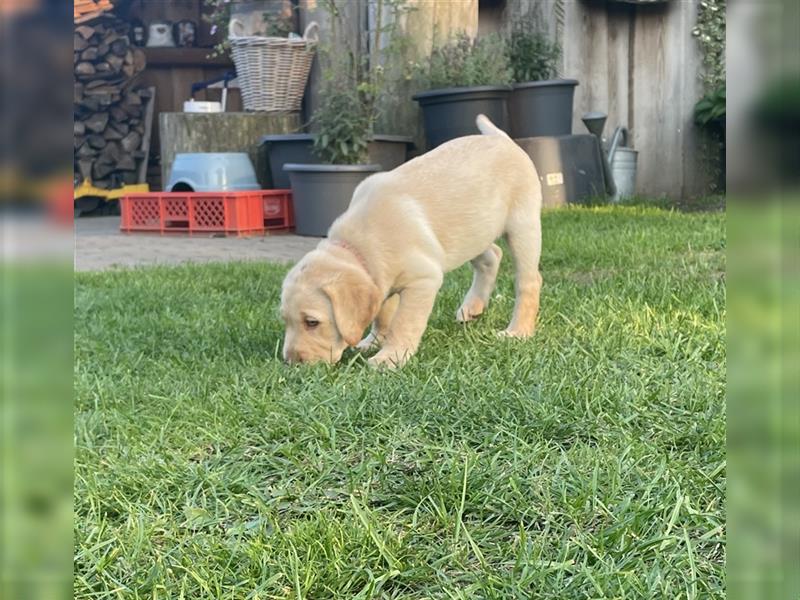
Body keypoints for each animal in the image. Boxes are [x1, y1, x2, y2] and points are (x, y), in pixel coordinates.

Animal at [282, 112, 544, 366]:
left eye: (312, 322)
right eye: (285, 320)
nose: (292, 363)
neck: (358, 245)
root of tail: (502, 139)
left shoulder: (423, 279)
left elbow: (403, 322)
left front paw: (390, 357)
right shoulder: (382, 278)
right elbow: (383, 313)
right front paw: (374, 341)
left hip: (523, 226)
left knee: (529, 281)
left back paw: (518, 332)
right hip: (471, 233)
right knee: (492, 256)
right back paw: (472, 306)